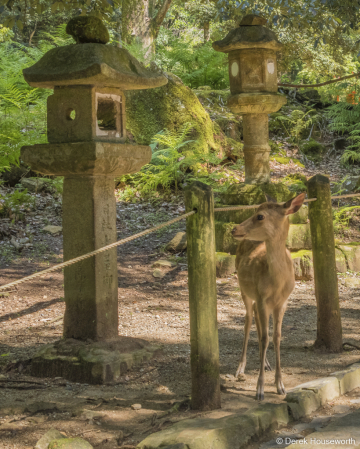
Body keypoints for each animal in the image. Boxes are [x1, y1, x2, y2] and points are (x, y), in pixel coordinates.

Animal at [232, 192, 306, 400]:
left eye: (260, 216)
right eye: (255, 210)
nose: (234, 228)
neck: (277, 284)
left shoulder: (282, 302)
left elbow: (276, 337)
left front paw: (280, 385)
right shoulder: (262, 298)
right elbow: (266, 338)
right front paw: (260, 389)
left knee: (256, 319)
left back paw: (264, 363)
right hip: (244, 289)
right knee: (248, 319)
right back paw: (240, 369)